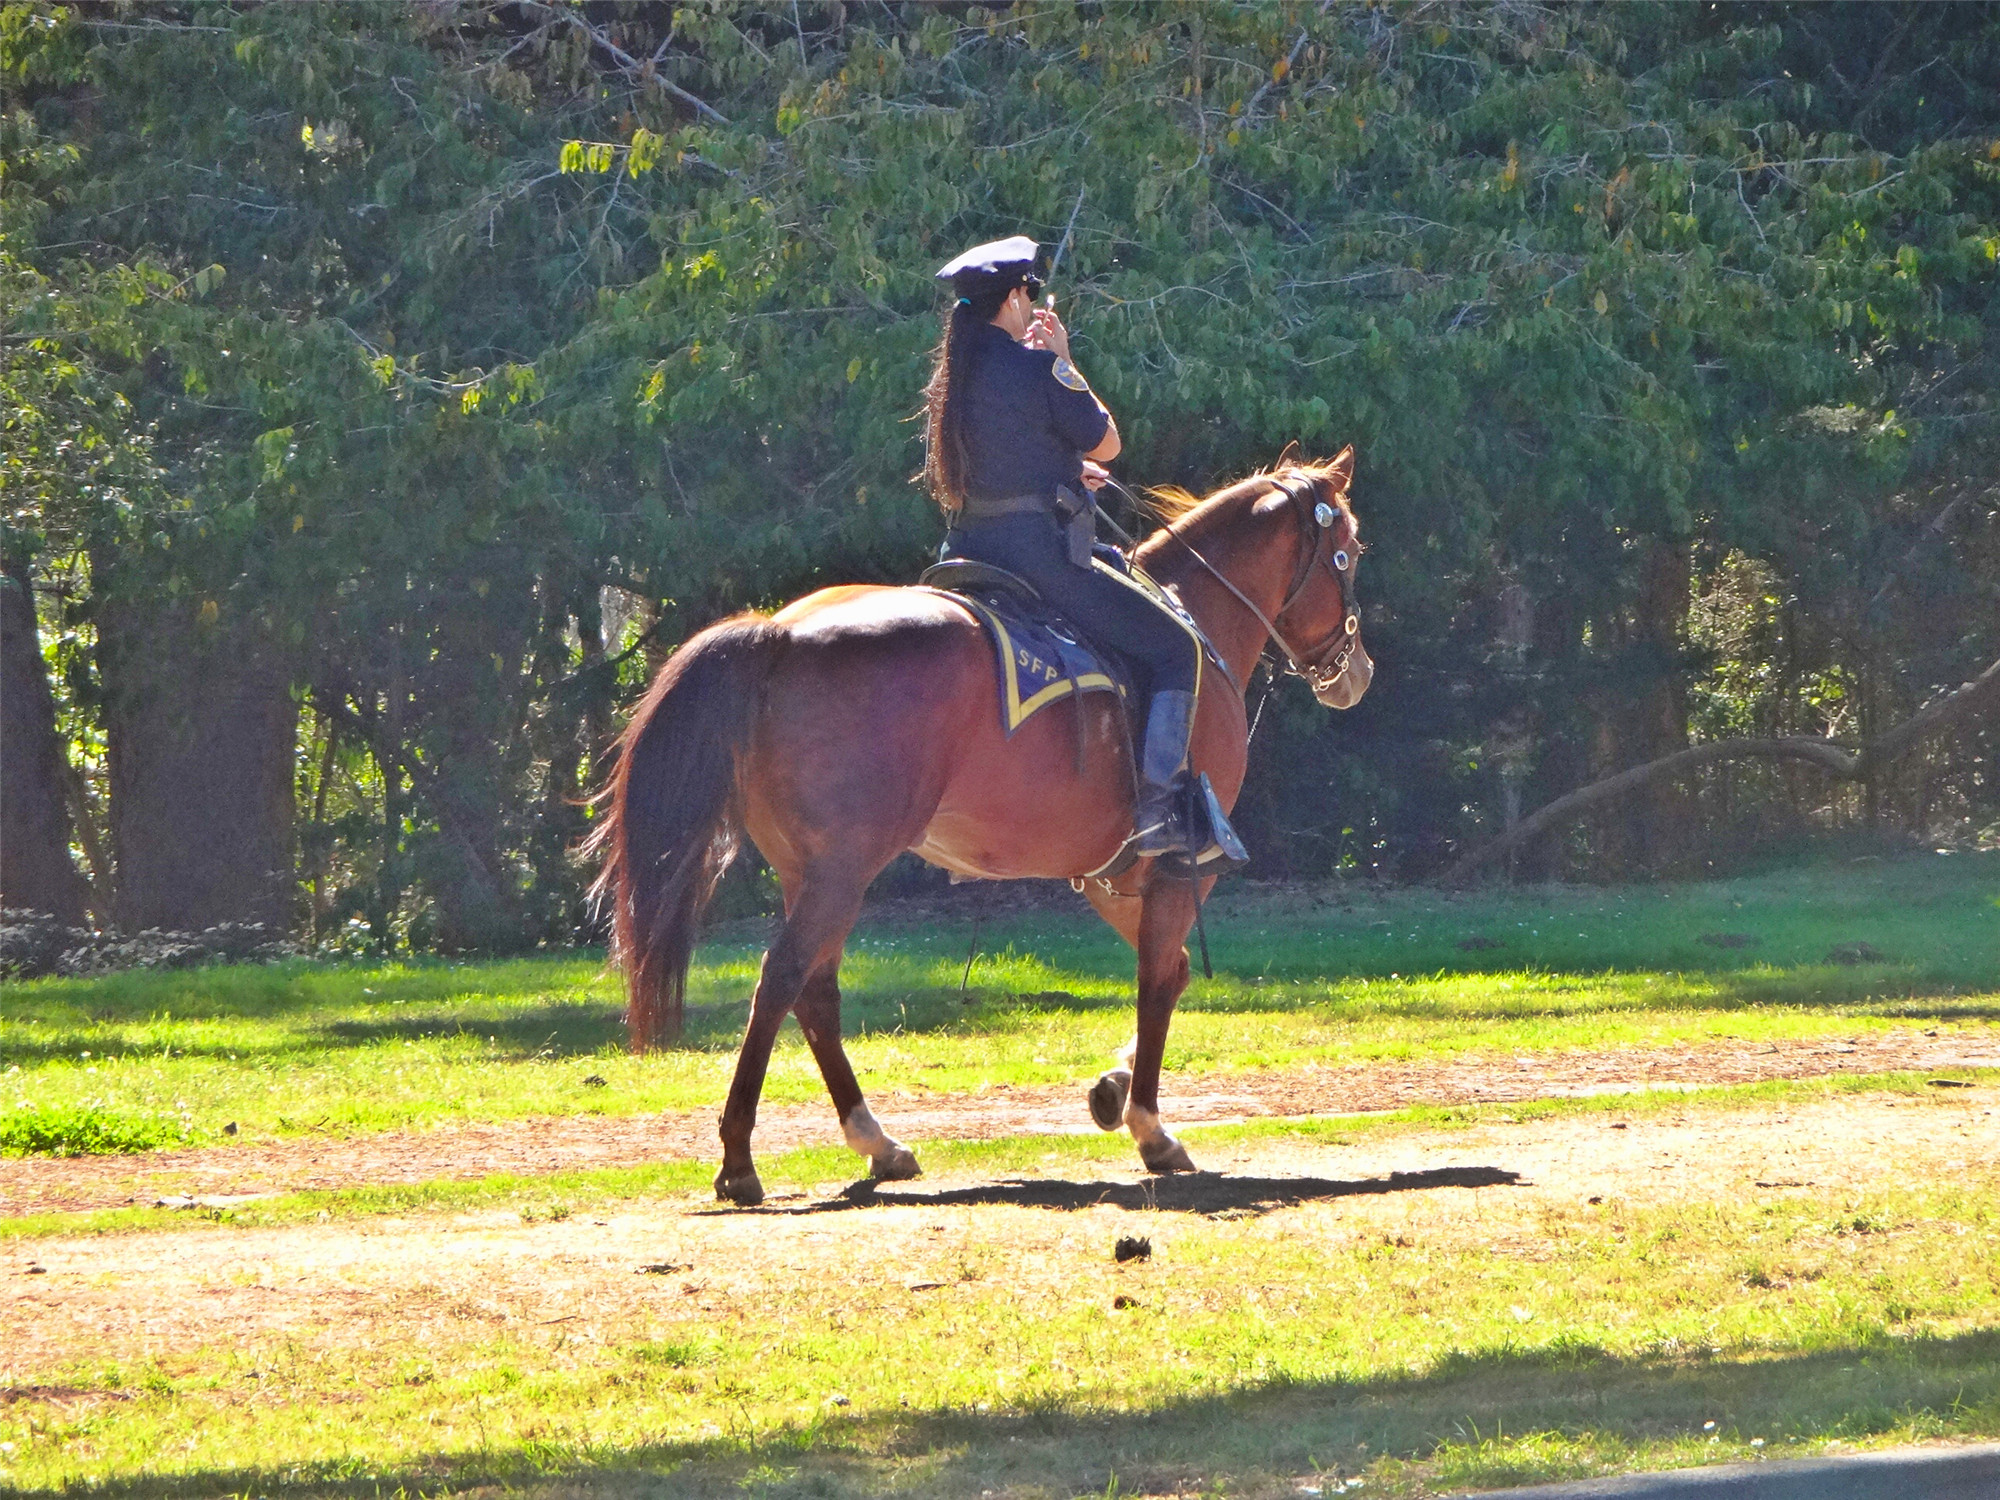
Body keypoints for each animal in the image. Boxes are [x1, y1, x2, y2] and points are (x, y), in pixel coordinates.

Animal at [584, 446, 1368, 1208]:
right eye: (1347, 553)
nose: (1353, 671)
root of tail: (778, 631)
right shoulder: (1182, 866)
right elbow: (1157, 978)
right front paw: (1148, 1123)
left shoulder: (1113, 874)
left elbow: (1168, 971)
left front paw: (1114, 1090)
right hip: (842, 871)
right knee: (780, 982)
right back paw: (741, 1160)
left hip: (813, 872)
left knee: (814, 992)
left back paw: (876, 1142)